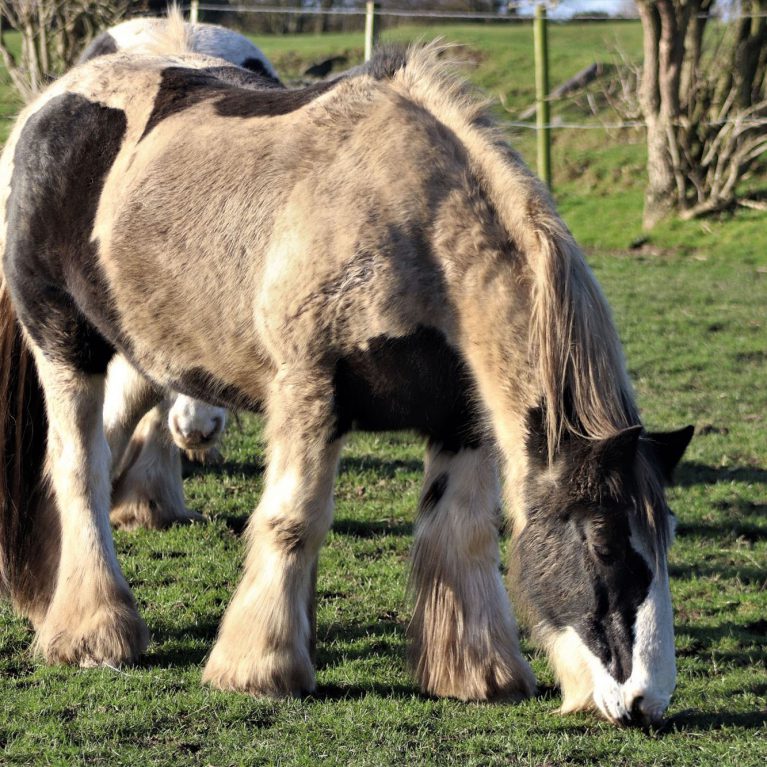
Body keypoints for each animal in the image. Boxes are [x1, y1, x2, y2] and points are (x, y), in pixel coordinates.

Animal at [0, 33, 692, 728]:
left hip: (146, 354)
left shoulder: (463, 422)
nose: (648, 701)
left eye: (665, 537)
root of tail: (46, 106)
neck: (415, 230)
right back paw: (95, 633)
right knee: (79, 469)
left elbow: (462, 532)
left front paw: (476, 673)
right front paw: (261, 669)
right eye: (603, 543)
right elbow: (293, 520)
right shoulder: (311, 391)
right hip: (66, 345)